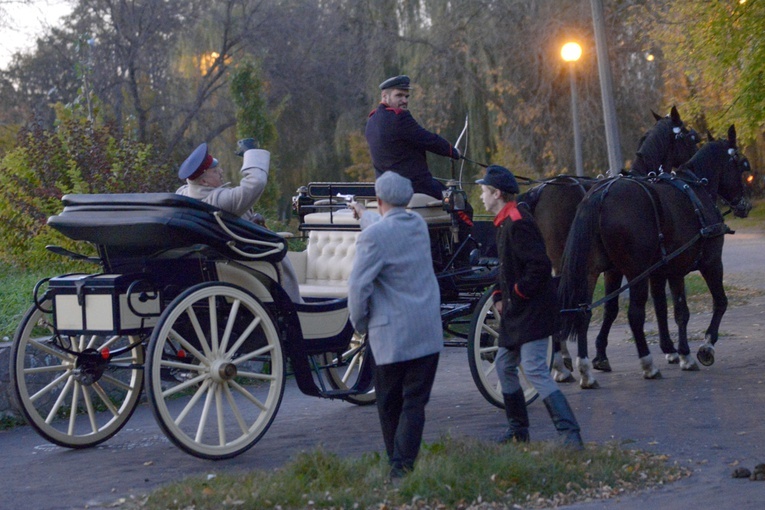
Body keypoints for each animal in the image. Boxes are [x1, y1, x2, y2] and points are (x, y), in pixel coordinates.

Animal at [520, 108, 700, 386]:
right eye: (690, 137)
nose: (692, 164)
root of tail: (540, 192)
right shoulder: (637, 268)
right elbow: (639, 305)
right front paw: (669, 349)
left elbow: (613, 307)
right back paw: (563, 364)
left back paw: (562, 363)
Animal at [560, 124, 748, 386]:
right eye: (740, 164)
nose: (745, 205)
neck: (696, 189)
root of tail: (602, 194)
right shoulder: (710, 263)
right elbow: (718, 303)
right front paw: (704, 348)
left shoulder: (668, 271)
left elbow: (675, 311)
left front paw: (681, 353)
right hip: (636, 272)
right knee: (634, 316)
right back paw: (647, 364)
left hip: (593, 271)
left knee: (583, 313)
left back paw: (585, 370)